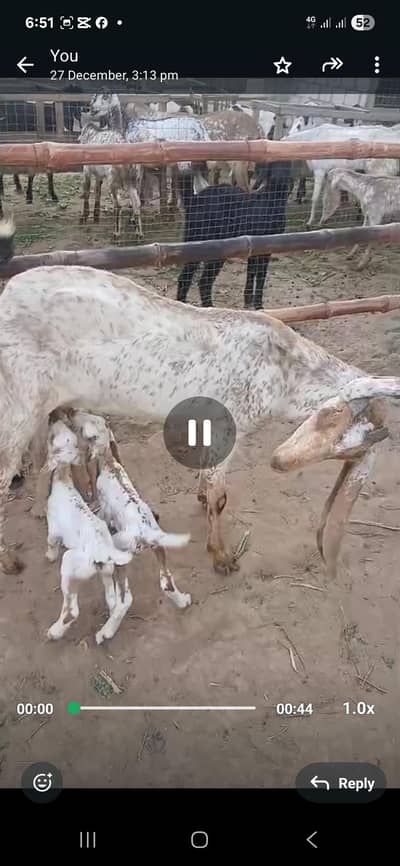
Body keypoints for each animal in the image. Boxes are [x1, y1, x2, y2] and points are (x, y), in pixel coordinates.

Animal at [1, 231, 399, 579]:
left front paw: (200, 500)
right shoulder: (232, 423)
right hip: (18, 406)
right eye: (334, 422)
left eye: (349, 451)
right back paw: (10, 560)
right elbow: (219, 495)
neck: (283, 368)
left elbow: (207, 483)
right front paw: (221, 556)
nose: (281, 462)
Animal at [45, 420, 133, 643]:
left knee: (72, 609)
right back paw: (106, 630)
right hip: (107, 573)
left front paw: (49, 556)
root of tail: (104, 552)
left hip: (70, 564)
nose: (54, 420)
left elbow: (51, 542)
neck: (63, 480)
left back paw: (55, 631)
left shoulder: (53, 527)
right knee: (114, 602)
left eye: (51, 438)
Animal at [80, 92, 142, 239]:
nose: (91, 108)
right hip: (134, 180)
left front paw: (84, 218)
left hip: (114, 180)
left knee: (118, 204)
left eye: (101, 98)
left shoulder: (86, 169)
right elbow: (97, 191)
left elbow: (87, 191)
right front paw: (95, 217)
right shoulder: (99, 174)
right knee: (137, 203)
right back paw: (139, 233)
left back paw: (116, 233)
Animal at [176, 161, 293, 309]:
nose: (280, 178)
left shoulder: (255, 246)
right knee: (203, 281)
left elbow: (252, 272)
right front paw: (259, 306)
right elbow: (261, 275)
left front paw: (248, 302)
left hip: (194, 242)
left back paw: (183, 304)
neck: (270, 199)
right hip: (213, 245)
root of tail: (194, 200)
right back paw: (208, 306)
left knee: (186, 277)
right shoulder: (265, 246)